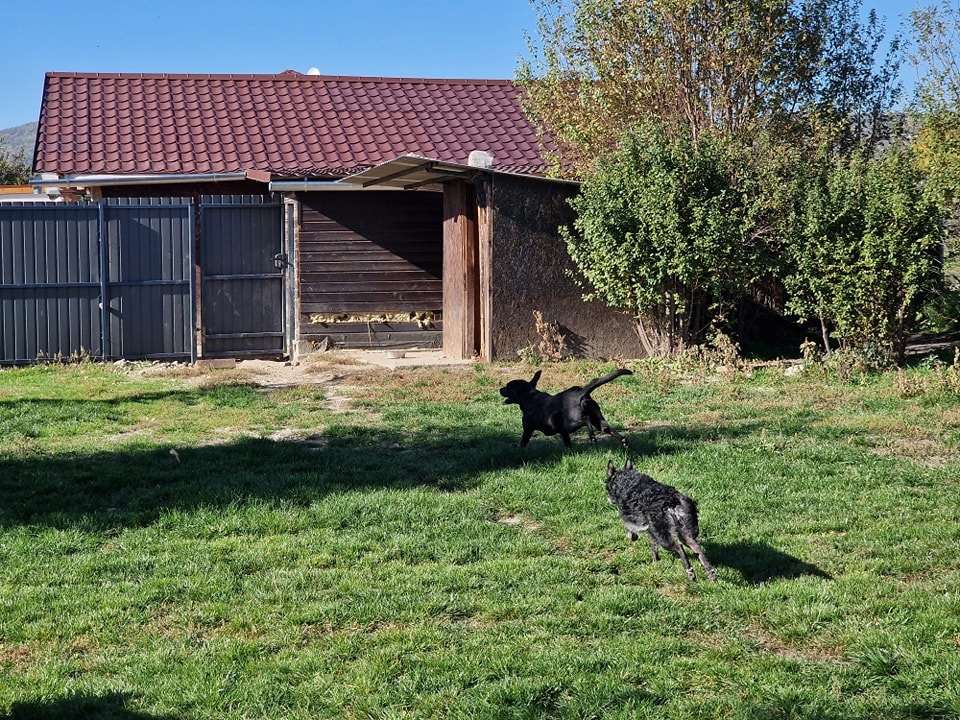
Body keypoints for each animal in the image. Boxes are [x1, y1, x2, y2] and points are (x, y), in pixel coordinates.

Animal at [498, 368, 632, 448]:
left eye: (507, 386)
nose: (500, 389)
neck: (529, 396)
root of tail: (582, 393)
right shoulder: (563, 432)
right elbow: (568, 443)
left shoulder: (527, 429)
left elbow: (523, 442)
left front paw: (518, 449)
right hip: (598, 420)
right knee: (606, 428)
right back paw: (623, 441)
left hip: (573, 421)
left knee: (586, 420)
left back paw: (592, 437)